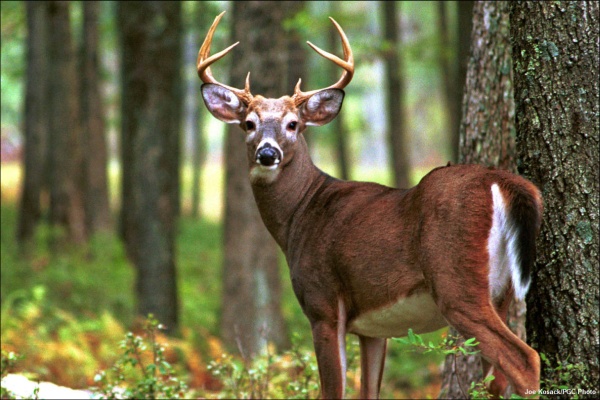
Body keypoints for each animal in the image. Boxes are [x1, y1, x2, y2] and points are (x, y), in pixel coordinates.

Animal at [198, 10, 544, 398]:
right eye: (248, 124)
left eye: (293, 124)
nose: (267, 153)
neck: (300, 215)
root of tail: (502, 181)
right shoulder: (372, 329)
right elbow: (368, 390)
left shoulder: (322, 303)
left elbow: (333, 390)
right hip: (501, 291)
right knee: (498, 378)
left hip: (457, 280)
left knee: (525, 359)